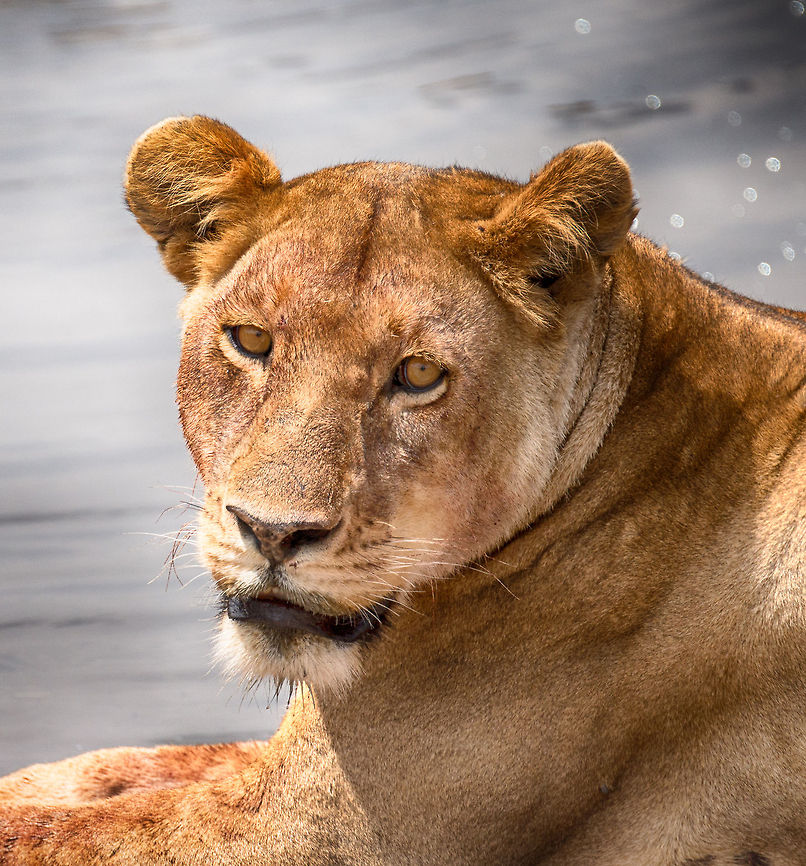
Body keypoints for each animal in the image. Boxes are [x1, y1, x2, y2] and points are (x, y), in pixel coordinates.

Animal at [1, 115, 805, 865]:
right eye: (251, 341)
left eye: (418, 374)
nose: (273, 533)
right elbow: (113, 764)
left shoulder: (312, 832)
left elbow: (42, 827)